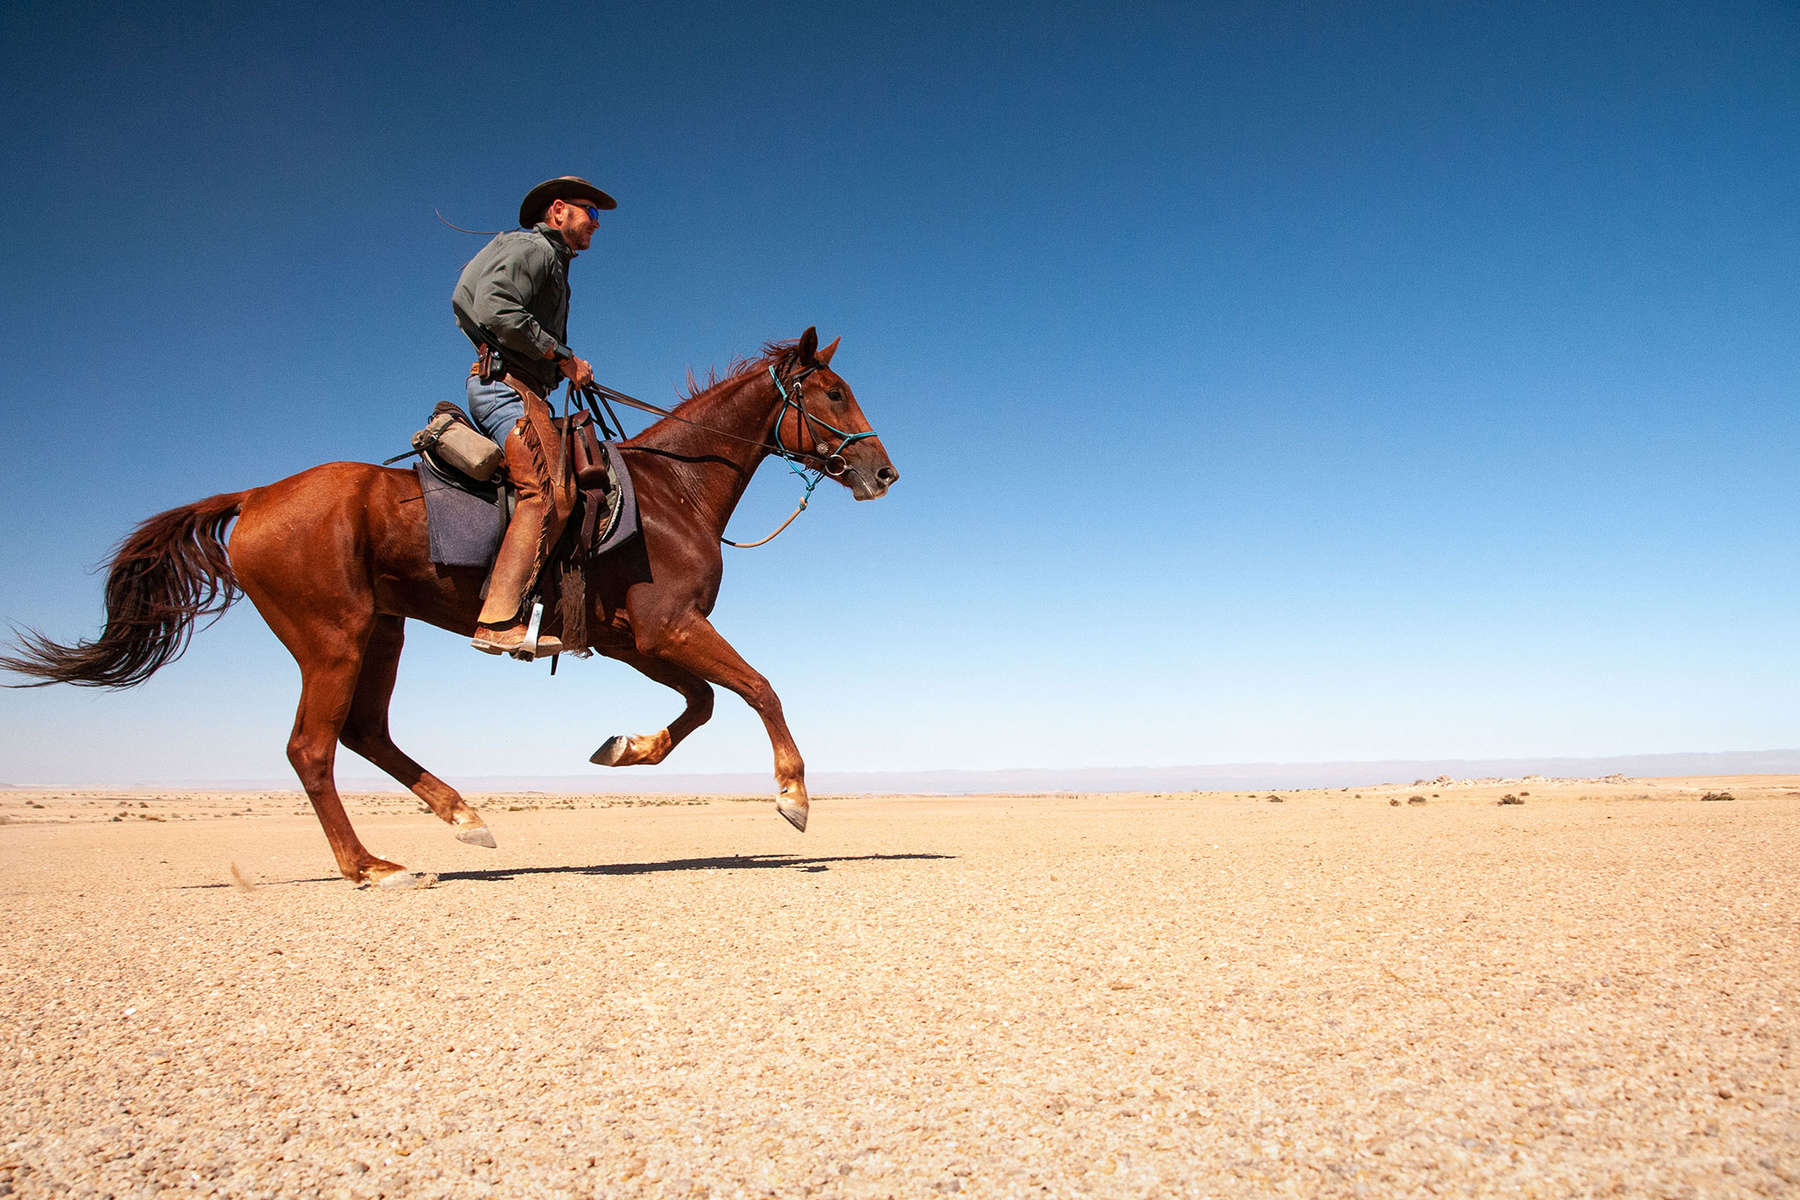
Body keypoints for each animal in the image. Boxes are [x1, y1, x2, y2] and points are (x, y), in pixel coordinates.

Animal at [0, 329, 900, 892]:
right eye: (830, 391)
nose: (884, 470)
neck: (672, 490)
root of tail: (255, 497)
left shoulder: (633, 640)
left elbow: (705, 704)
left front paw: (623, 749)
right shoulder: (669, 626)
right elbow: (758, 689)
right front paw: (793, 798)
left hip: (382, 630)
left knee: (365, 733)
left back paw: (463, 816)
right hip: (332, 636)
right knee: (312, 749)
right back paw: (371, 867)